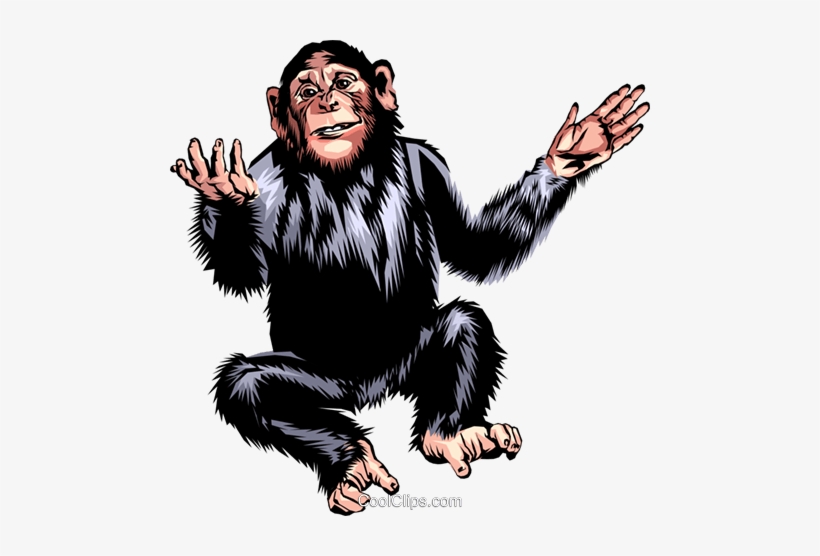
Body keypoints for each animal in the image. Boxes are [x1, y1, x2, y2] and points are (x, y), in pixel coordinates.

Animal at [170, 40, 648, 515]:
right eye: (305, 92)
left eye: (344, 82)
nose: (327, 102)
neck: (346, 172)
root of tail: (370, 390)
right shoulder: (265, 176)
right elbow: (243, 273)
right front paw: (224, 191)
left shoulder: (429, 164)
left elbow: (472, 246)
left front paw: (571, 153)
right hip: (319, 379)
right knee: (247, 386)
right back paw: (351, 461)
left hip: (408, 355)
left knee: (464, 325)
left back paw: (452, 436)